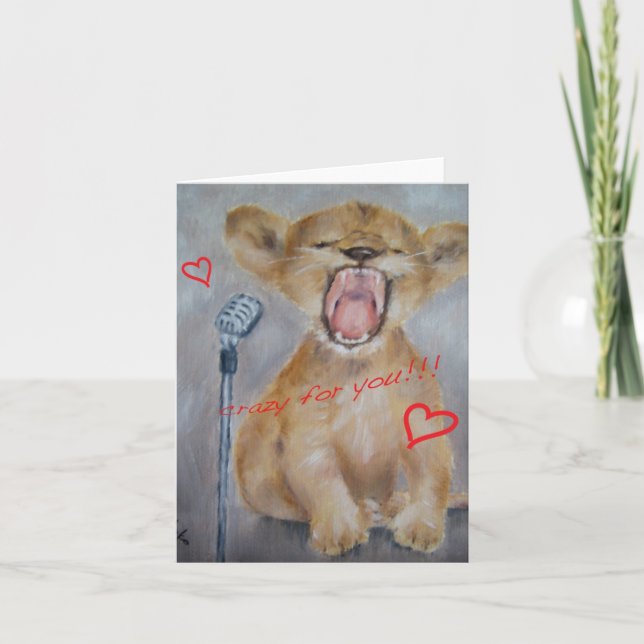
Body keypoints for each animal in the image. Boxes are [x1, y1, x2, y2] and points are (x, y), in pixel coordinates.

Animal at [225, 200, 467, 556]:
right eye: (323, 243)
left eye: (395, 248)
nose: (362, 251)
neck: (360, 368)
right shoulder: (306, 434)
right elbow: (322, 480)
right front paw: (338, 532)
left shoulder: (423, 421)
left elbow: (432, 473)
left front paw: (422, 529)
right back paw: (368, 511)